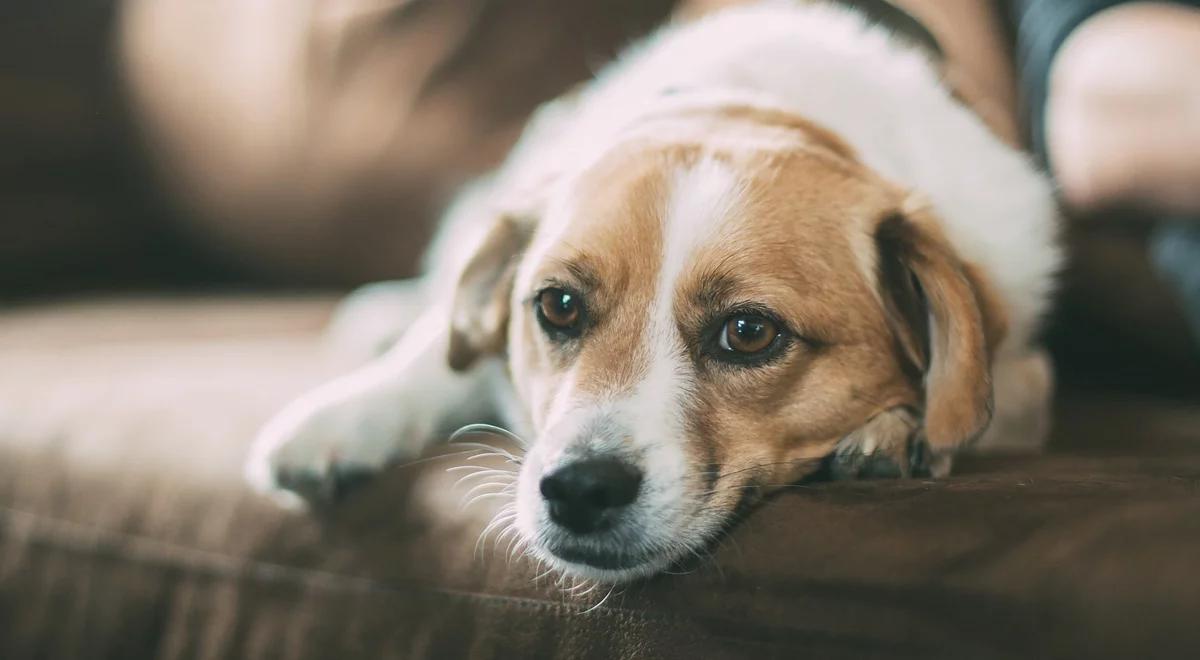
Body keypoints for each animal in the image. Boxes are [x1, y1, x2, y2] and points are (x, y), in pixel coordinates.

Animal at [243, 0, 1060, 583]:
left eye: (749, 332)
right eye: (558, 306)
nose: (578, 489)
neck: (754, 105)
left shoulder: (1023, 365)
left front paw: (897, 429)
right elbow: (437, 354)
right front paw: (346, 417)